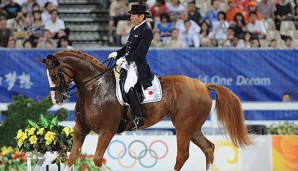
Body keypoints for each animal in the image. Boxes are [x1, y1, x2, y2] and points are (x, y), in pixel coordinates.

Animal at [39, 49, 251, 171]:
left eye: (55, 74)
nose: (57, 100)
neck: (95, 87)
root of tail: (203, 85)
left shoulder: (107, 131)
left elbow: (98, 160)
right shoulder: (80, 130)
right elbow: (71, 159)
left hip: (183, 127)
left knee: (182, 155)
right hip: (193, 128)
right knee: (208, 148)